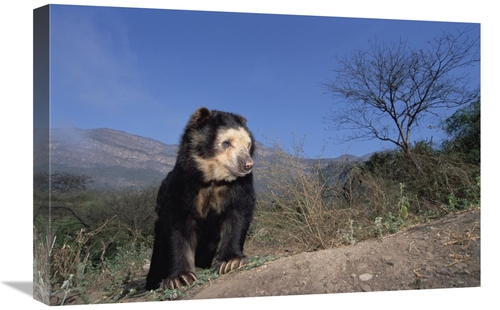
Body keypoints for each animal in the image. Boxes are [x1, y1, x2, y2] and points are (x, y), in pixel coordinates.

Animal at [144, 106, 254, 290]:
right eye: (226, 143)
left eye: (248, 144)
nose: (247, 165)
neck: (213, 179)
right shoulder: (182, 186)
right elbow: (179, 226)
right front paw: (180, 278)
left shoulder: (240, 186)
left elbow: (239, 213)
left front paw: (231, 262)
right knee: (159, 249)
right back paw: (153, 282)